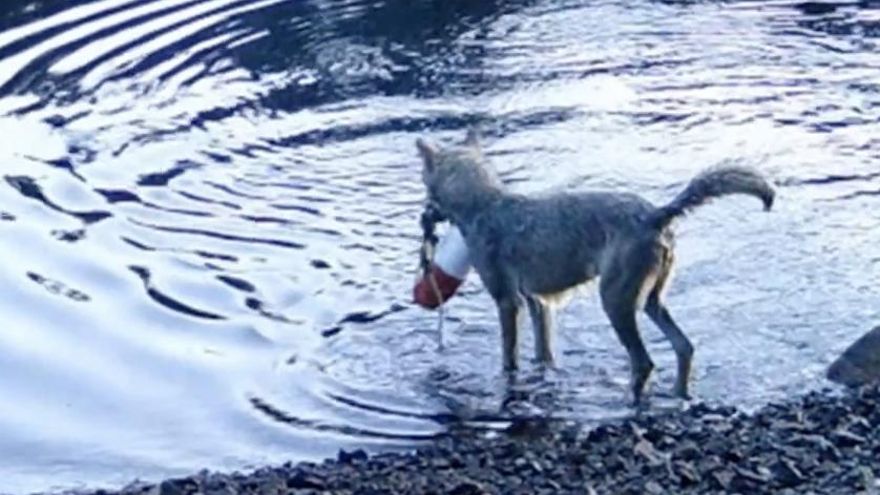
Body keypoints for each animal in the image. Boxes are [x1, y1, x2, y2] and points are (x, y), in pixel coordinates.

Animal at [415, 128, 775, 405]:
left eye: (426, 187)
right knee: (684, 347)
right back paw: (677, 396)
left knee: (644, 362)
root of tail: (656, 214)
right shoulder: (537, 303)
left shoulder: (507, 301)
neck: (485, 203)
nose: (425, 216)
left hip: (615, 301)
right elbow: (543, 352)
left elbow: (509, 357)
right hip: (650, 301)